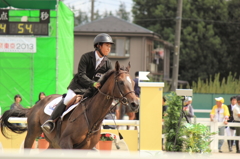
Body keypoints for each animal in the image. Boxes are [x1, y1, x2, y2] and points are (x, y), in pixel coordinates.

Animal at [0, 60, 139, 149]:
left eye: (132, 82)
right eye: (121, 82)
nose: (135, 104)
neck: (91, 117)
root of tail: (36, 106)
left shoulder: (84, 148)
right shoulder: (66, 143)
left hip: (53, 143)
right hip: (32, 134)